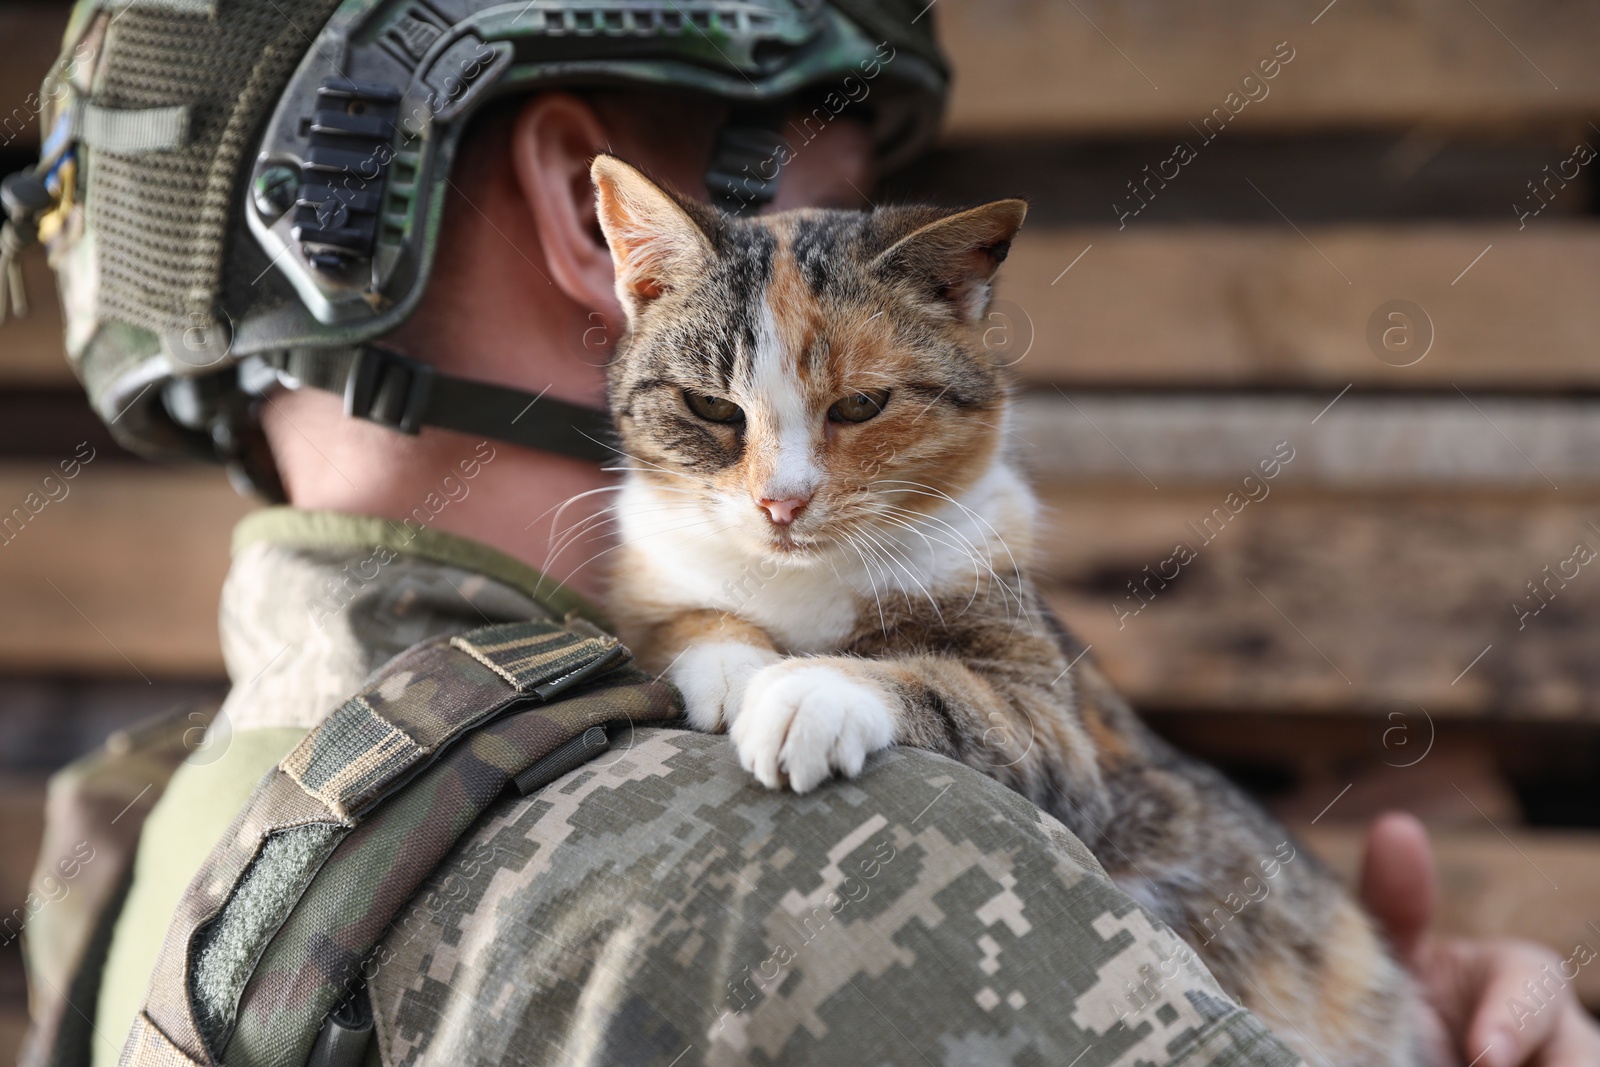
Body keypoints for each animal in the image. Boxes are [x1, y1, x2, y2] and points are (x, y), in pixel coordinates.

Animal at [588, 154, 1427, 1062]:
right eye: (711, 406)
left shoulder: (1061, 729)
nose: (780, 503)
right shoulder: (651, 568)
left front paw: (808, 691)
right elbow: (677, 613)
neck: (804, 579)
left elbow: (950, 687)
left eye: (859, 406)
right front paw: (734, 668)